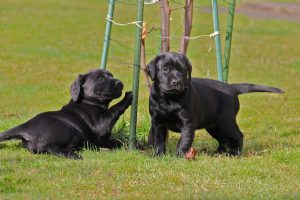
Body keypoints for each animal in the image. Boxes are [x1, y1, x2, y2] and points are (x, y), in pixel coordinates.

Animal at [0, 69, 132, 159]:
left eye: (112, 76)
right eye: (100, 79)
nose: (120, 83)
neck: (87, 102)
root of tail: (24, 127)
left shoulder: (104, 139)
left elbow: (118, 141)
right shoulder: (100, 124)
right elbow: (114, 109)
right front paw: (128, 96)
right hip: (66, 130)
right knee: (50, 147)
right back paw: (74, 155)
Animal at [146, 52, 282, 157]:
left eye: (183, 70)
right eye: (165, 69)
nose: (177, 81)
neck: (169, 99)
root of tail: (232, 88)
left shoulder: (187, 123)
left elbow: (183, 141)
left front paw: (179, 156)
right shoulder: (157, 122)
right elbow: (158, 140)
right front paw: (158, 155)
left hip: (226, 122)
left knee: (238, 135)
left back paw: (235, 154)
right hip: (214, 126)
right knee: (223, 139)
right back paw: (217, 153)